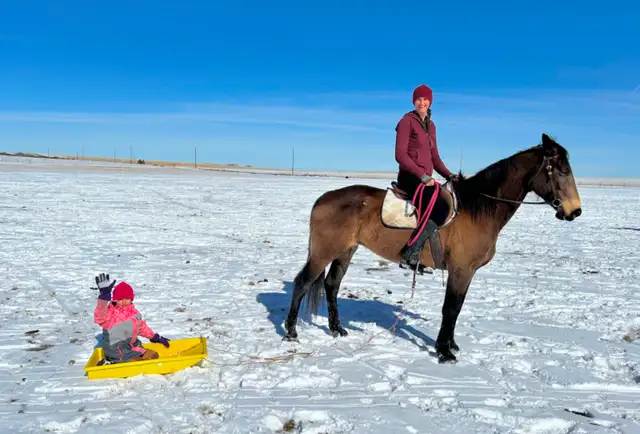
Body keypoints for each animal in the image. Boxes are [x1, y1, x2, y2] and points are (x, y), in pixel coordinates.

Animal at [283, 133, 582, 363]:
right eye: (562, 171)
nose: (575, 211)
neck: (478, 209)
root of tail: (323, 199)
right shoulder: (460, 270)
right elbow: (450, 309)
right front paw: (444, 352)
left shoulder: (467, 273)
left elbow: (457, 308)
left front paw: (450, 344)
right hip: (324, 252)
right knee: (302, 283)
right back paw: (290, 332)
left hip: (346, 251)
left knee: (332, 285)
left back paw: (337, 329)